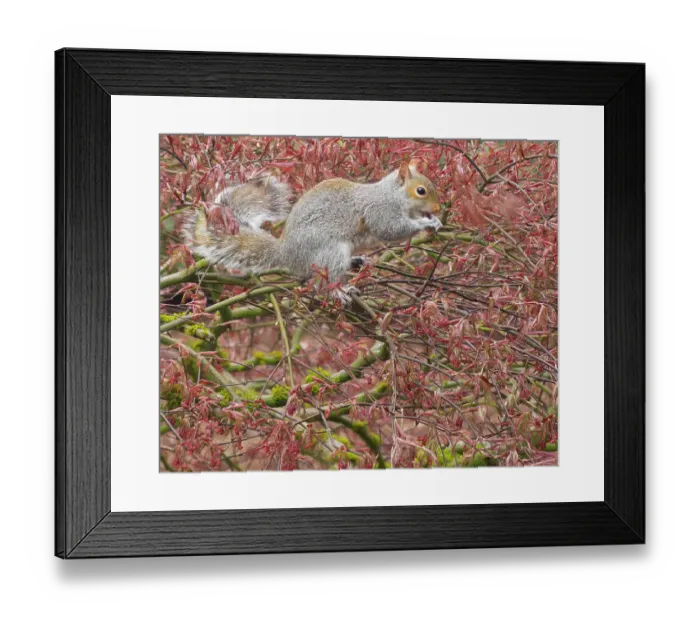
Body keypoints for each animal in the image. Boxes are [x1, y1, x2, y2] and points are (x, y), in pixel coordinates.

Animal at [184, 159, 442, 299]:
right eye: (420, 191)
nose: (439, 207)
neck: (392, 195)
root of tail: (287, 253)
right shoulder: (380, 210)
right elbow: (391, 229)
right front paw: (426, 223)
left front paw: (435, 221)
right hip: (330, 250)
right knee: (324, 279)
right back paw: (340, 291)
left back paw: (357, 261)